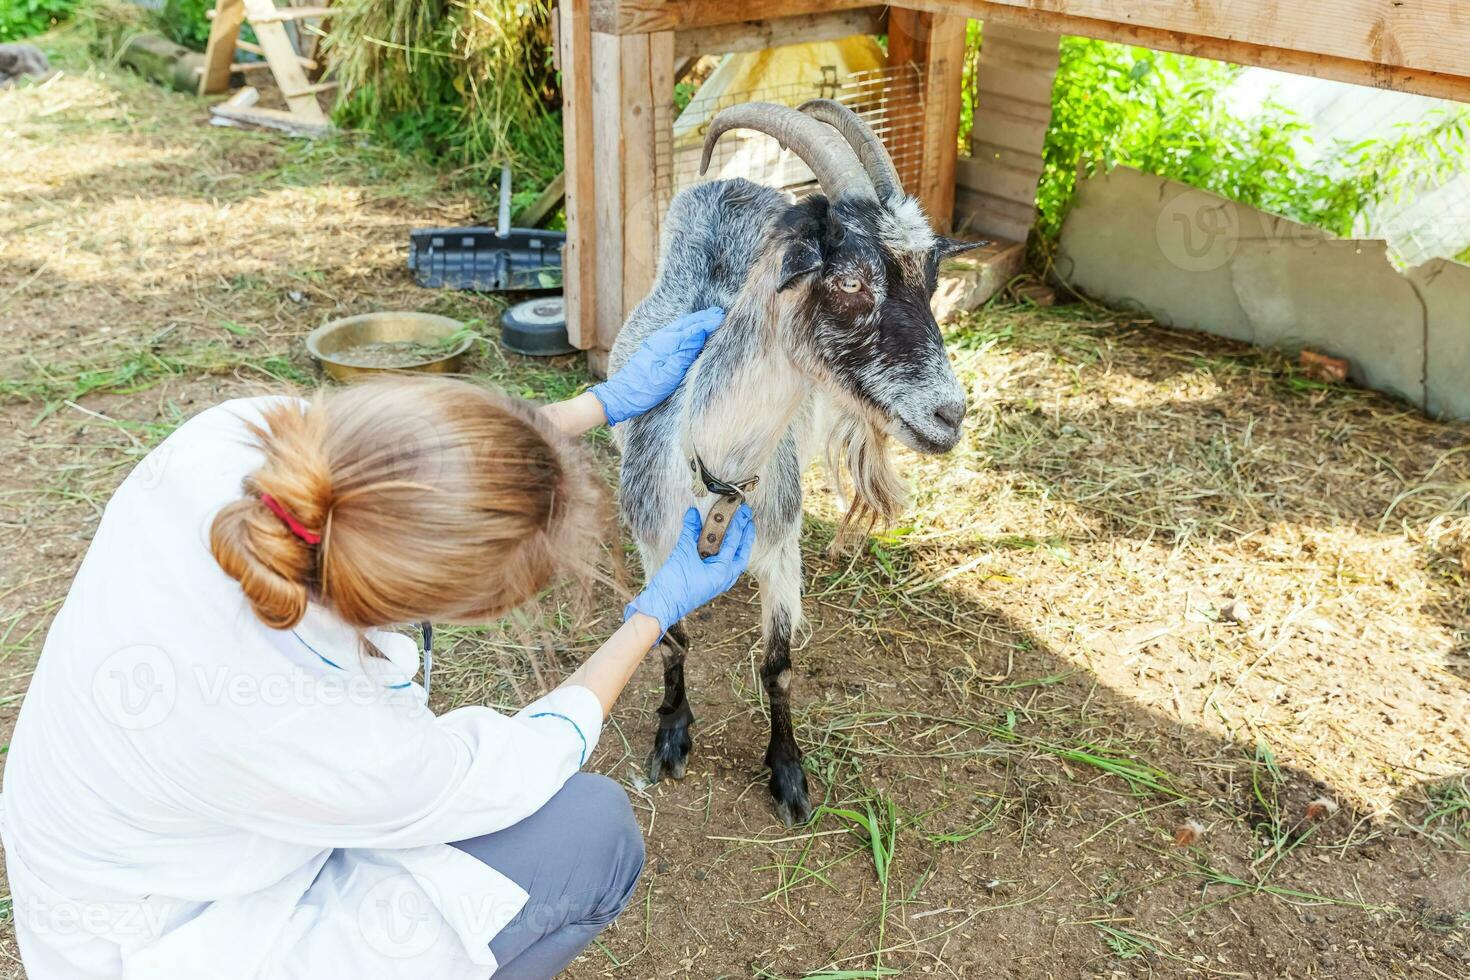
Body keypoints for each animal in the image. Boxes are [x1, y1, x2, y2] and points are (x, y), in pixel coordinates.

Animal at [602, 99, 981, 822]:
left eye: (930, 281)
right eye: (850, 280)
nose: (951, 414)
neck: (716, 474)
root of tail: (727, 181)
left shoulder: (781, 550)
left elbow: (777, 665)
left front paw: (786, 770)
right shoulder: (656, 546)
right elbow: (671, 637)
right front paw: (672, 734)